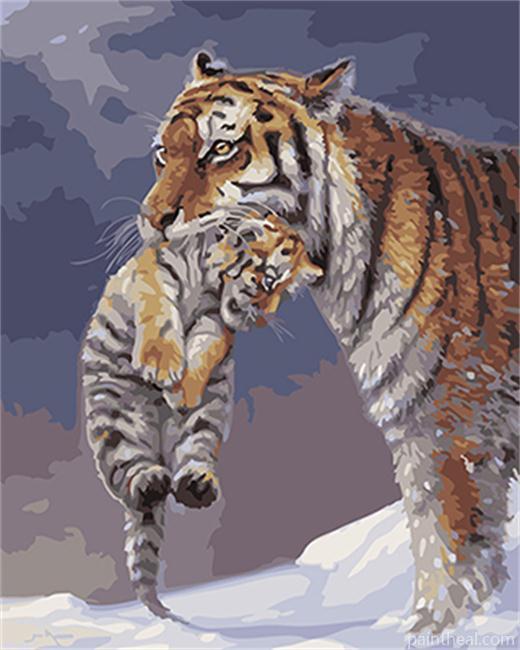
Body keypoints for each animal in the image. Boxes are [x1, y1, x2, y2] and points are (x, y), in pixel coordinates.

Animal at [81, 207, 322, 621]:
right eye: (267, 280)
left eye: (280, 291)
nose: (260, 316)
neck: (212, 281)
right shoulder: (158, 271)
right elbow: (159, 310)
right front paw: (161, 367)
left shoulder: (214, 318)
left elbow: (206, 344)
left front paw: (183, 388)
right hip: (116, 414)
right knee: (128, 479)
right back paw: (150, 482)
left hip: (206, 421)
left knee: (193, 456)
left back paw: (195, 486)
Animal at [137, 51, 519, 632]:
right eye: (162, 154)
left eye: (220, 149)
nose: (152, 220)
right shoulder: (414, 424)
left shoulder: (453, 427)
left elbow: (452, 554)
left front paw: (437, 631)